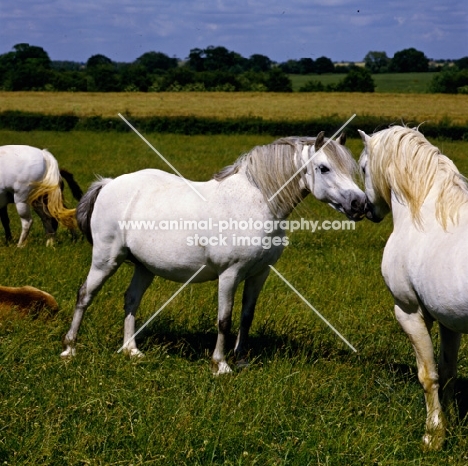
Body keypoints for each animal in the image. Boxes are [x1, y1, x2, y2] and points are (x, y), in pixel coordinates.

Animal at [60, 132, 366, 374]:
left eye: (352, 168)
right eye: (324, 168)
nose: (358, 203)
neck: (256, 203)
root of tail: (109, 183)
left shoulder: (259, 274)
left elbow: (246, 316)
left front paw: (240, 359)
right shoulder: (229, 274)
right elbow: (224, 319)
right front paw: (220, 364)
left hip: (145, 268)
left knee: (131, 300)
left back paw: (131, 350)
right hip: (105, 260)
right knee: (85, 295)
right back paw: (70, 349)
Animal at [362, 125, 468, 450]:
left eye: (362, 167)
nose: (365, 208)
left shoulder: (408, 313)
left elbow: (428, 375)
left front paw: (433, 435)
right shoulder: (449, 321)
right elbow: (448, 371)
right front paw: (452, 423)